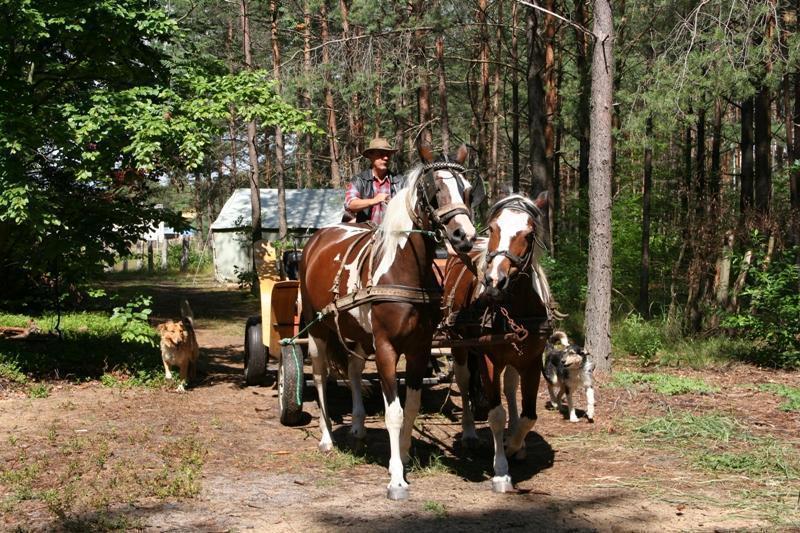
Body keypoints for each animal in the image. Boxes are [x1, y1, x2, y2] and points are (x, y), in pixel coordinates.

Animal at [298, 142, 476, 498]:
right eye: (433, 191)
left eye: (468, 191)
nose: (464, 236)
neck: (403, 270)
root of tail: (317, 239)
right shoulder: (386, 348)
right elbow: (393, 411)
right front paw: (396, 477)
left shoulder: (419, 347)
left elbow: (412, 405)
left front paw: (405, 453)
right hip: (317, 327)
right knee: (322, 376)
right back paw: (327, 437)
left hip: (356, 333)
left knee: (353, 370)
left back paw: (356, 426)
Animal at [440, 190, 552, 490]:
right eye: (492, 229)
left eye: (528, 234)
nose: (494, 280)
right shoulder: (488, 359)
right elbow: (495, 414)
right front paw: (501, 469)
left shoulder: (532, 360)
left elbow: (529, 415)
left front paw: (514, 444)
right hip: (459, 345)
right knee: (464, 380)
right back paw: (469, 433)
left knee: (511, 387)